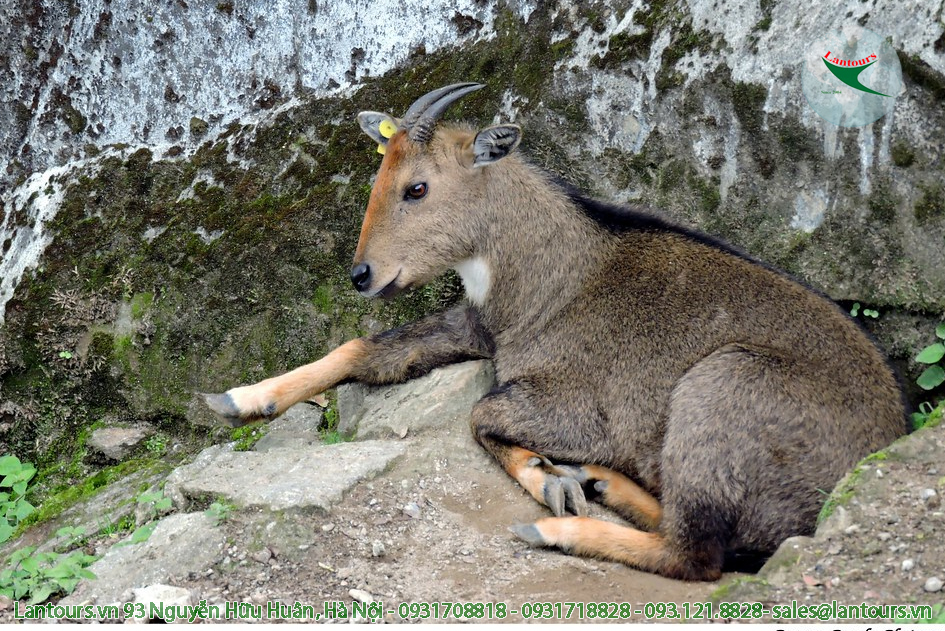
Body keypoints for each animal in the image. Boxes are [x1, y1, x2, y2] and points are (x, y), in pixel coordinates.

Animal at [205, 84, 908, 584]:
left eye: (418, 187)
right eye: (382, 180)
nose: (362, 275)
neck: (553, 271)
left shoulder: (579, 405)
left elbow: (482, 414)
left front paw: (548, 481)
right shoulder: (476, 326)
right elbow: (364, 350)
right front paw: (240, 398)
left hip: (720, 385)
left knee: (697, 555)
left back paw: (559, 527)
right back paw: (602, 483)